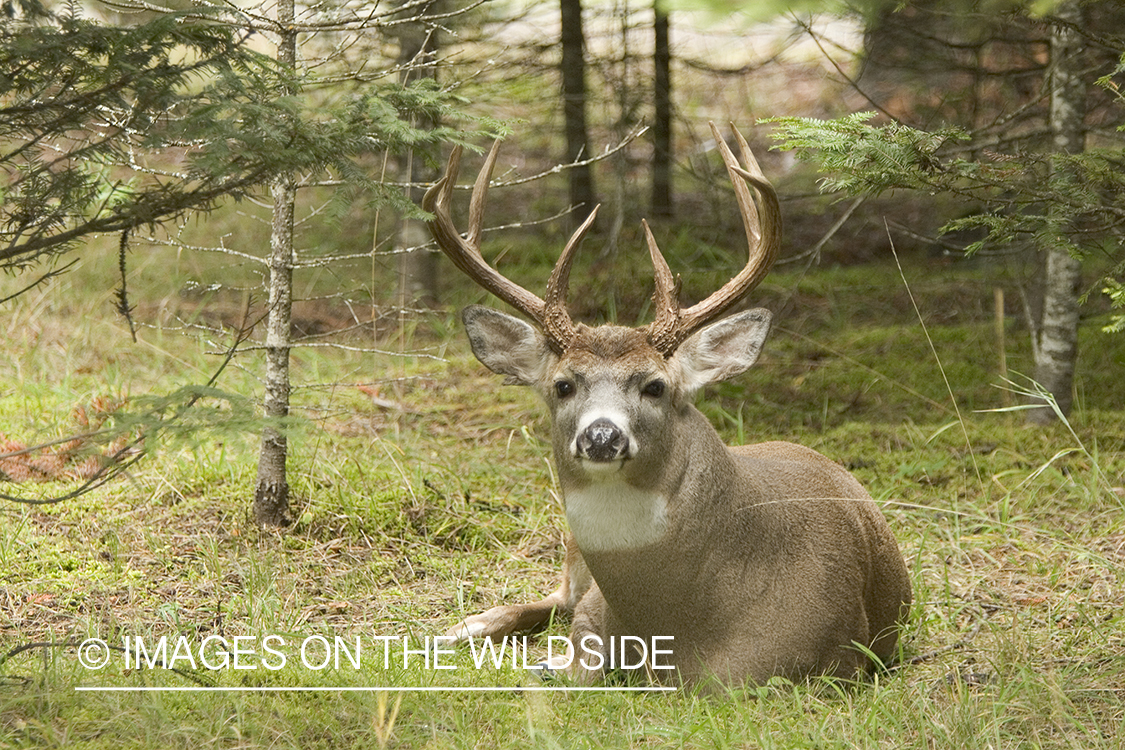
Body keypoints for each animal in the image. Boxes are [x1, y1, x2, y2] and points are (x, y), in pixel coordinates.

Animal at [423, 124, 913, 692]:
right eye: (563, 385)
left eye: (655, 386)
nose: (602, 436)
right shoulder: (593, 615)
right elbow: (578, 655)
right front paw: (538, 660)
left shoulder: (842, 655)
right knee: (554, 596)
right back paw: (463, 627)